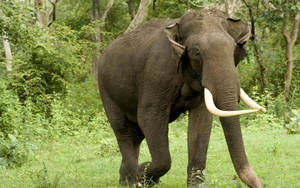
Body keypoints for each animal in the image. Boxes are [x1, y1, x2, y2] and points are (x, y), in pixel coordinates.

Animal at [98, 8, 264, 187]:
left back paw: (125, 180)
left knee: (136, 135)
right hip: (106, 90)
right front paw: (144, 173)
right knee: (123, 130)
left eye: (233, 48)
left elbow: (201, 121)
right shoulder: (156, 73)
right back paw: (132, 181)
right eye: (196, 52)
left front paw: (197, 185)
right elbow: (149, 117)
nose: (259, 184)